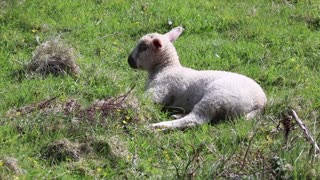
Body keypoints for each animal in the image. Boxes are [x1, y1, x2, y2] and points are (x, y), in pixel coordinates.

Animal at [127, 26, 268, 129]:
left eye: (143, 47)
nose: (129, 60)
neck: (166, 68)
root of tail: (260, 102)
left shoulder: (161, 88)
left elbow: (145, 100)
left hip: (217, 98)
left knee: (196, 119)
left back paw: (157, 126)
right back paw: (177, 115)